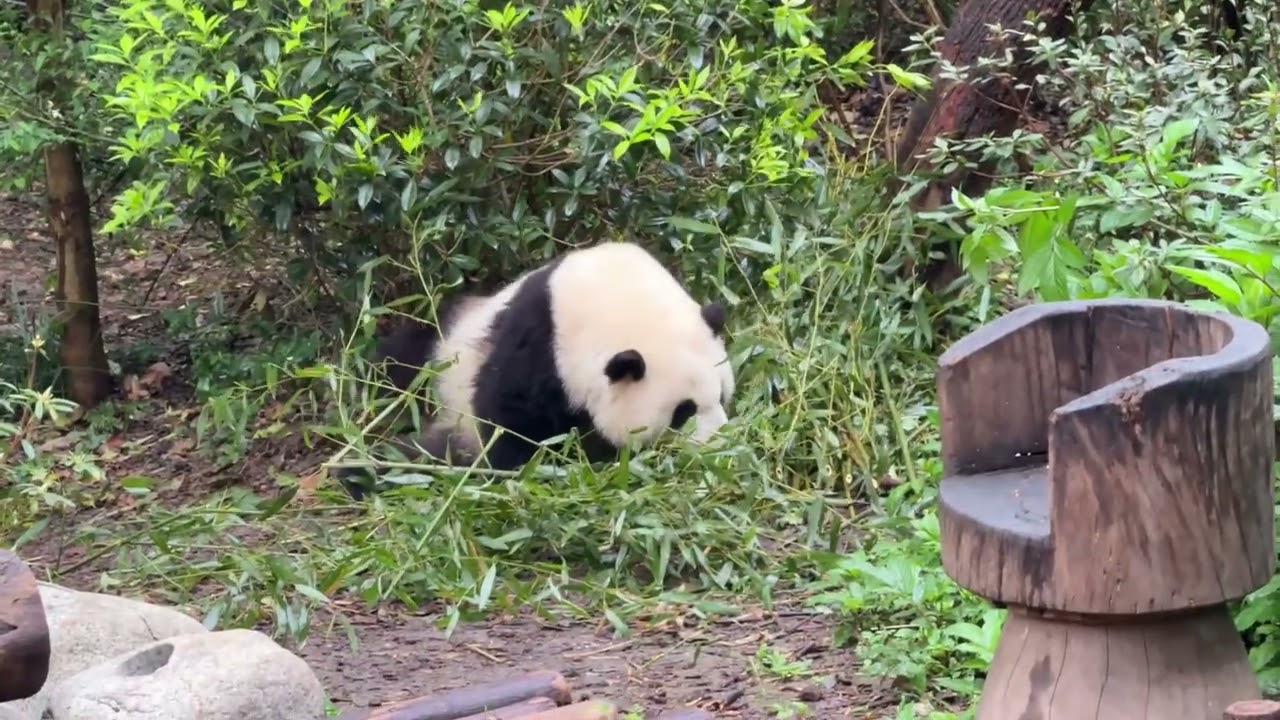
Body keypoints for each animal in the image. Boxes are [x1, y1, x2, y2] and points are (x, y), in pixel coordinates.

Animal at [338, 241, 737, 497]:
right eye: (682, 412)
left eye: (722, 397)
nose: (718, 443)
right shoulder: (538, 346)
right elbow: (512, 425)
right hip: (439, 354)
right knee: (395, 372)